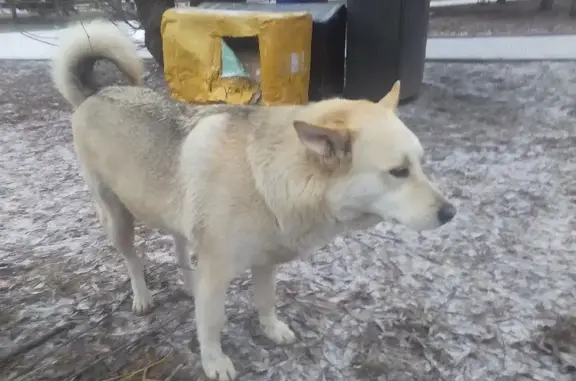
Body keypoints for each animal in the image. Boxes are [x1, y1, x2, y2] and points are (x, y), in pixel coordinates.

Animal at [51, 20, 456, 380]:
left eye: (420, 164)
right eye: (398, 172)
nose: (451, 213)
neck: (267, 177)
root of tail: (95, 93)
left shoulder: (266, 263)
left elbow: (265, 301)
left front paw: (271, 329)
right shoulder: (218, 272)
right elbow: (211, 323)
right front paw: (214, 361)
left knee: (180, 246)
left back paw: (189, 284)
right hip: (118, 220)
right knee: (133, 261)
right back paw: (142, 297)